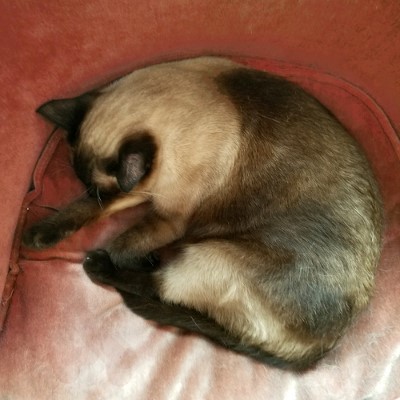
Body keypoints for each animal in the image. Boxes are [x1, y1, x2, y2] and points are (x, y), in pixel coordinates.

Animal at [22, 56, 384, 368]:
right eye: (85, 187)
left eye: (97, 190)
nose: (98, 194)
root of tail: (320, 350)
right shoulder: (139, 195)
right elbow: (84, 210)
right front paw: (39, 235)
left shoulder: (167, 217)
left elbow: (121, 242)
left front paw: (122, 254)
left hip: (208, 256)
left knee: (160, 288)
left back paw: (103, 264)